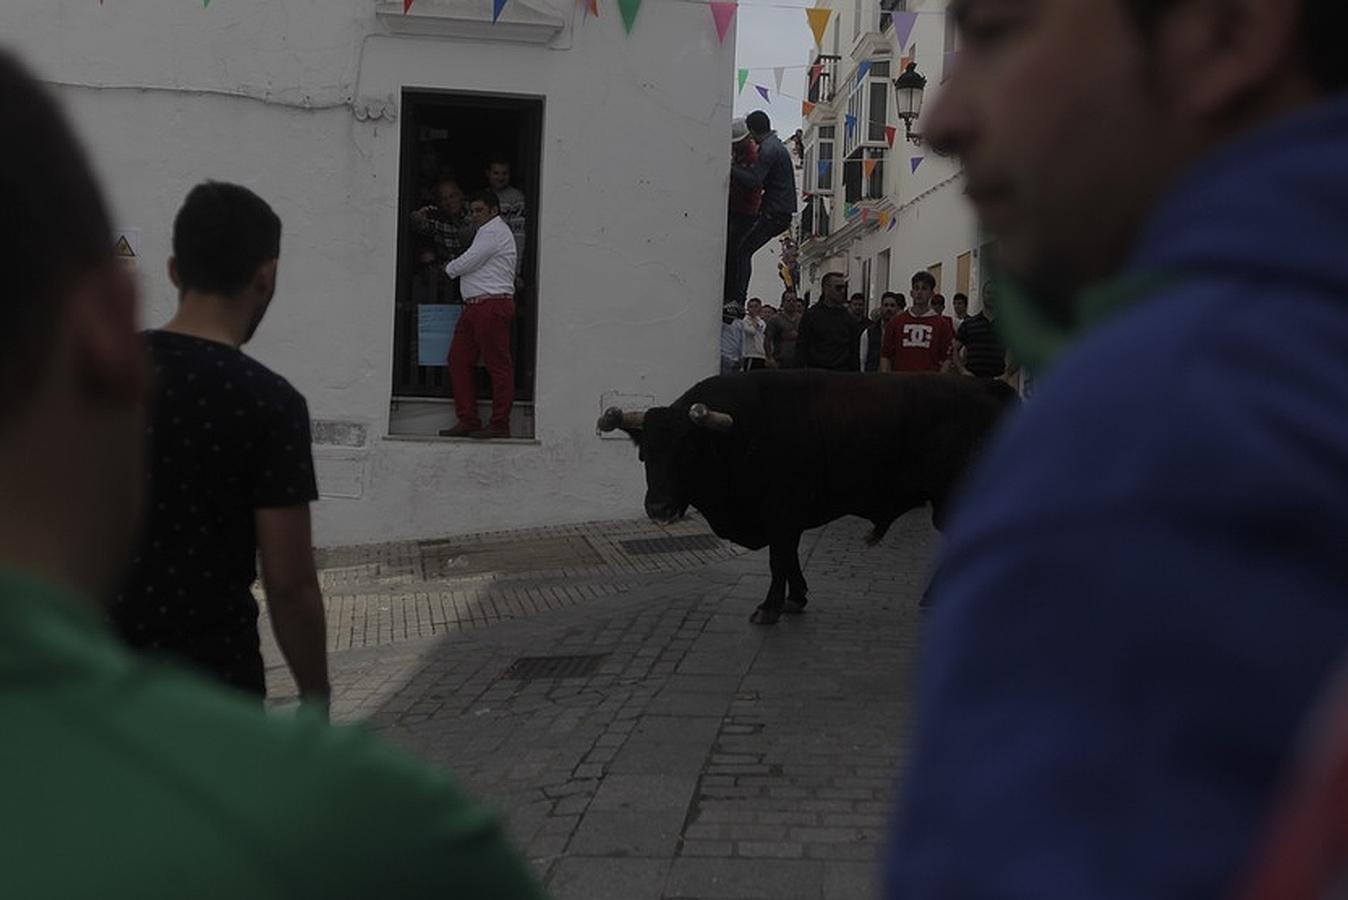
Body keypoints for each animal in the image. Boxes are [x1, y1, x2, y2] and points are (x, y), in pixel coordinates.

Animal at [601, 369, 1019, 622]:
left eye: (687, 452)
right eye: (645, 454)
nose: (657, 507)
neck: (743, 433)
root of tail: (990, 387)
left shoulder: (779, 512)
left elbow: (778, 560)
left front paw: (768, 608)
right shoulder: (787, 518)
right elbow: (790, 557)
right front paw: (795, 597)